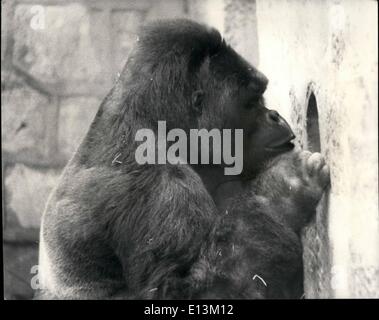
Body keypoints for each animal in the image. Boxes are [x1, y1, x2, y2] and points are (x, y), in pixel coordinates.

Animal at [37, 19, 332, 300]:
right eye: (251, 102)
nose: (275, 116)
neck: (155, 124)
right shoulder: (161, 186)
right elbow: (179, 290)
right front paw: (283, 191)